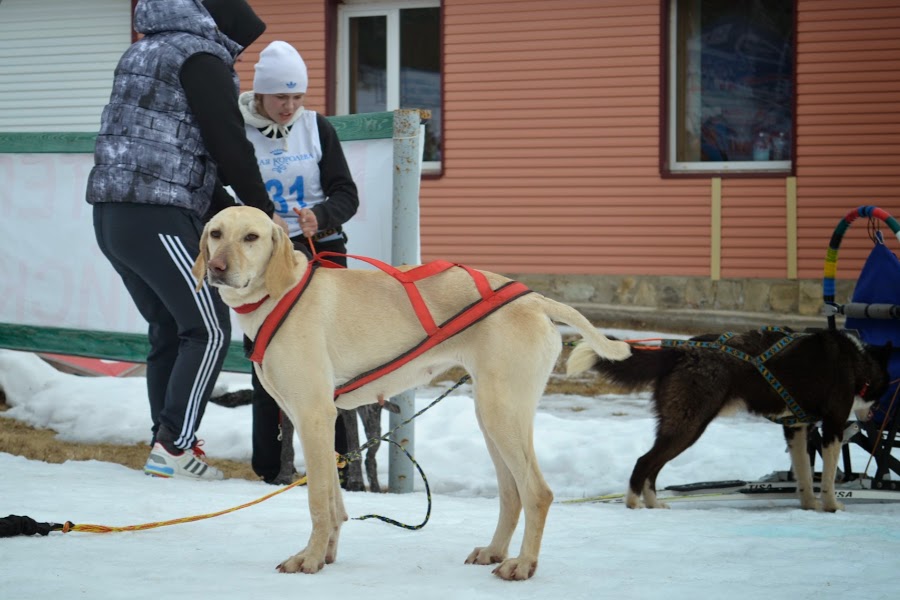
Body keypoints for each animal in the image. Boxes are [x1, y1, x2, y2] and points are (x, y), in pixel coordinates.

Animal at [193, 204, 628, 580]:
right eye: (216, 234)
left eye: (251, 237)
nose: (216, 267)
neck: (279, 295)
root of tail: (534, 298)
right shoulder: (315, 422)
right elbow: (334, 503)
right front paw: (326, 553)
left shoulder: (315, 416)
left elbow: (318, 500)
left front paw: (311, 559)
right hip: (491, 417)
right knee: (512, 493)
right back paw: (494, 551)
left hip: (503, 414)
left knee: (537, 493)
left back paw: (522, 564)